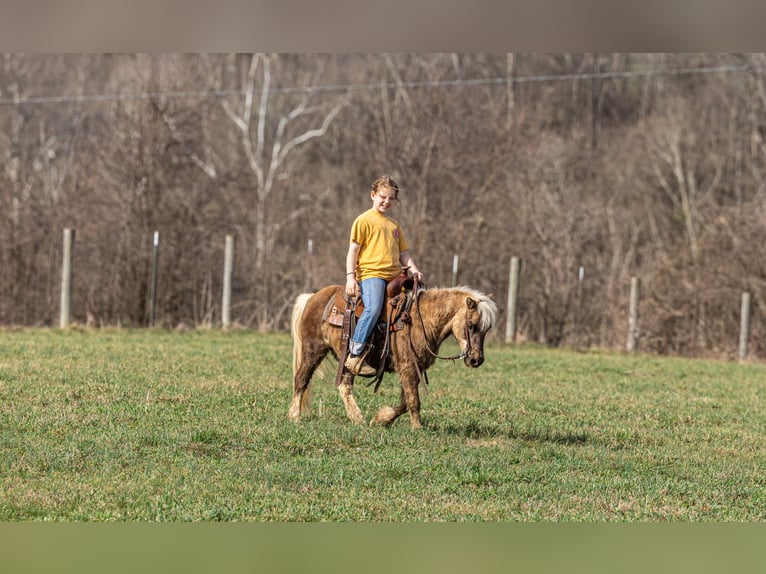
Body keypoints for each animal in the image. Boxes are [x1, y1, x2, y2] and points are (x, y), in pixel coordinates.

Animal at [288, 283, 498, 430]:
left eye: (487, 329)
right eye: (471, 325)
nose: (476, 360)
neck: (421, 320)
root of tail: (312, 297)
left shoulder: (414, 368)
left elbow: (405, 402)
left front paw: (380, 419)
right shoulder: (407, 366)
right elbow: (413, 400)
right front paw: (417, 428)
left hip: (345, 358)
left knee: (344, 385)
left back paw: (358, 419)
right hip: (313, 349)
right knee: (301, 379)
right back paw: (295, 416)